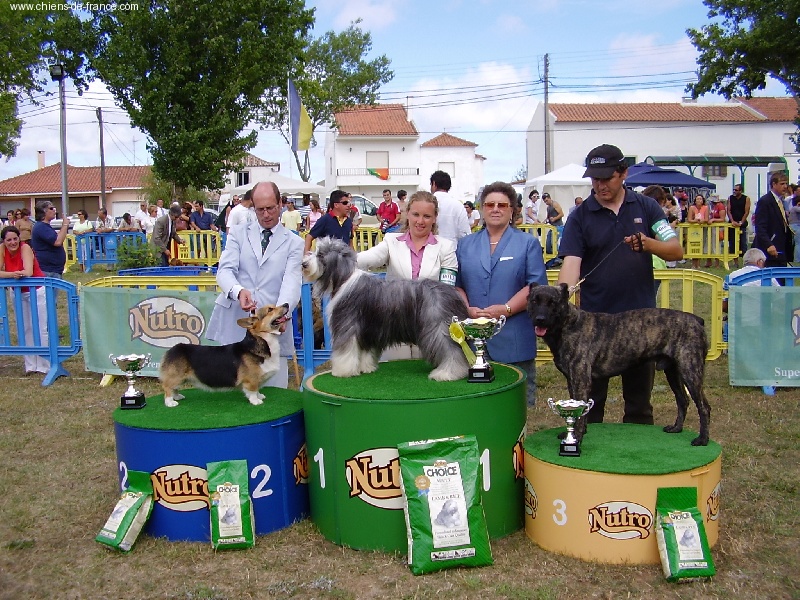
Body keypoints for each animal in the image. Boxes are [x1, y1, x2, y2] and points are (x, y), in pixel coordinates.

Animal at [158, 304, 290, 408]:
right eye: (270, 309)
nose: (287, 304)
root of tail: (173, 349)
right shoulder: (251, 380)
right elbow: (252, 390)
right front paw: (256, 401)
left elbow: (257, 389)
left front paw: (260, 396)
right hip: (176, 376)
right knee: (167, 386)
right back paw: (170, 402)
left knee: (174, 388)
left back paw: (177, 396)